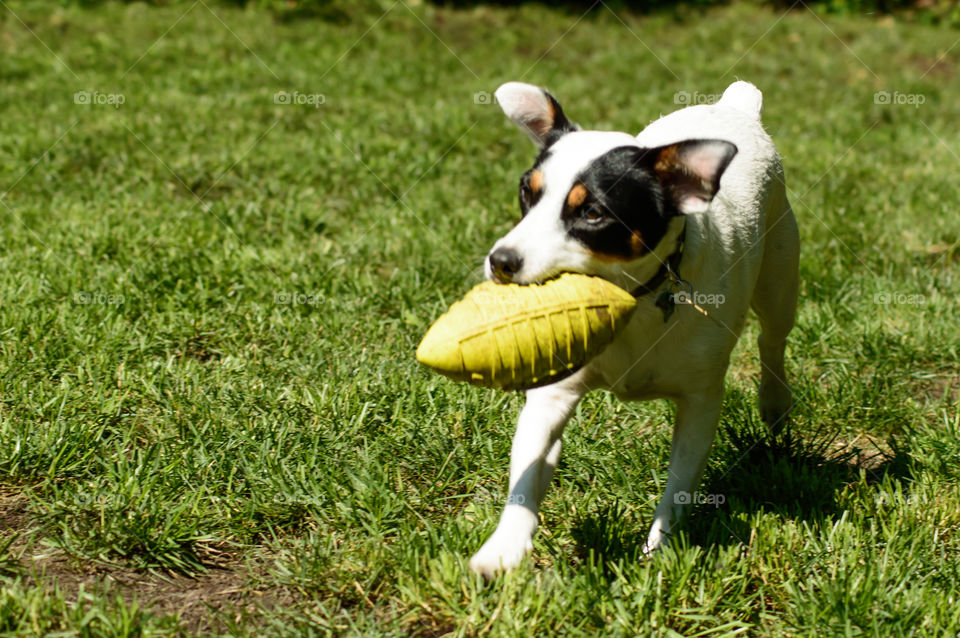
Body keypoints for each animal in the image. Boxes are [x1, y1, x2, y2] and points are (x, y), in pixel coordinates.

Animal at [468, 81, 800, 580]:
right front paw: (503, 547)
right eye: (527, 193)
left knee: (772, 341)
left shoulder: (701, 402)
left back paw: (775, 403)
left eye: (592, 213)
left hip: (780, 279)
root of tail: (734, 106)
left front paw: (658, 552)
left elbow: (679, 488)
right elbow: (527, 472)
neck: (631, 301)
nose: (501, 261)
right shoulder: (553, 396)